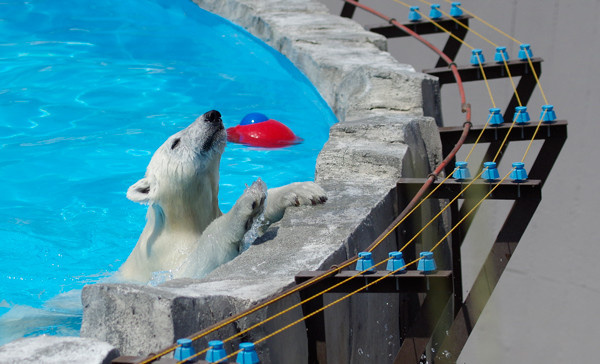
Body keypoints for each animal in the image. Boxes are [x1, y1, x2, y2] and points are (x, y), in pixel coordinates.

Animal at [118, 109, 328, 282]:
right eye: (175, 143)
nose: (212, 115)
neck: (181, 221)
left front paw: (304, 190)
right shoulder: (166, 258)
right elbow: (197, 263)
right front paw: (245, 204)